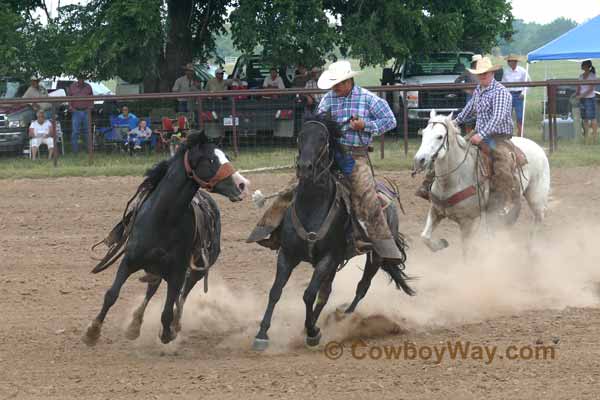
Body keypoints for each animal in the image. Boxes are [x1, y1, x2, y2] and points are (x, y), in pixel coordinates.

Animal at [82, 133, 248, 346]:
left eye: (226, 156)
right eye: (211, 159)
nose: (242, 185)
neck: (163, 218)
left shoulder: (177, 272)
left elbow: (168, 310)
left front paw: (168, 333)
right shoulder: (129, 261)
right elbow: (111, 294)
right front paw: (92, 332)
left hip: (196, 270)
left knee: (182, 295)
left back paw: (173, 324)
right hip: (154, 267)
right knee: (152, 289)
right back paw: (134, 325)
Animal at [252, 115, 412, 350]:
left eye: (322, 138)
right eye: (300, 136)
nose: (305, 167)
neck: (311, 206)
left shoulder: (328, 258)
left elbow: (309, 295)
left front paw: (312, 332)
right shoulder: (287, 255)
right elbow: (276, 291)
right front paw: (262, 333)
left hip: (375, 255)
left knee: (361, 287)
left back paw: (343, 317)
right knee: (325, 294)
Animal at [412, 111, 548, 252]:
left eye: (440, 136)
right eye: (423, 133)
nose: (419, 160)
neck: (452, 181)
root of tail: (537, 146)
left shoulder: (468, 221)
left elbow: (467, 251)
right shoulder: (435, 210)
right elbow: (425, 237)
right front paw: (441, 244)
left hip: (536, 197)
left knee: (538, 218)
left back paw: (529, 248)